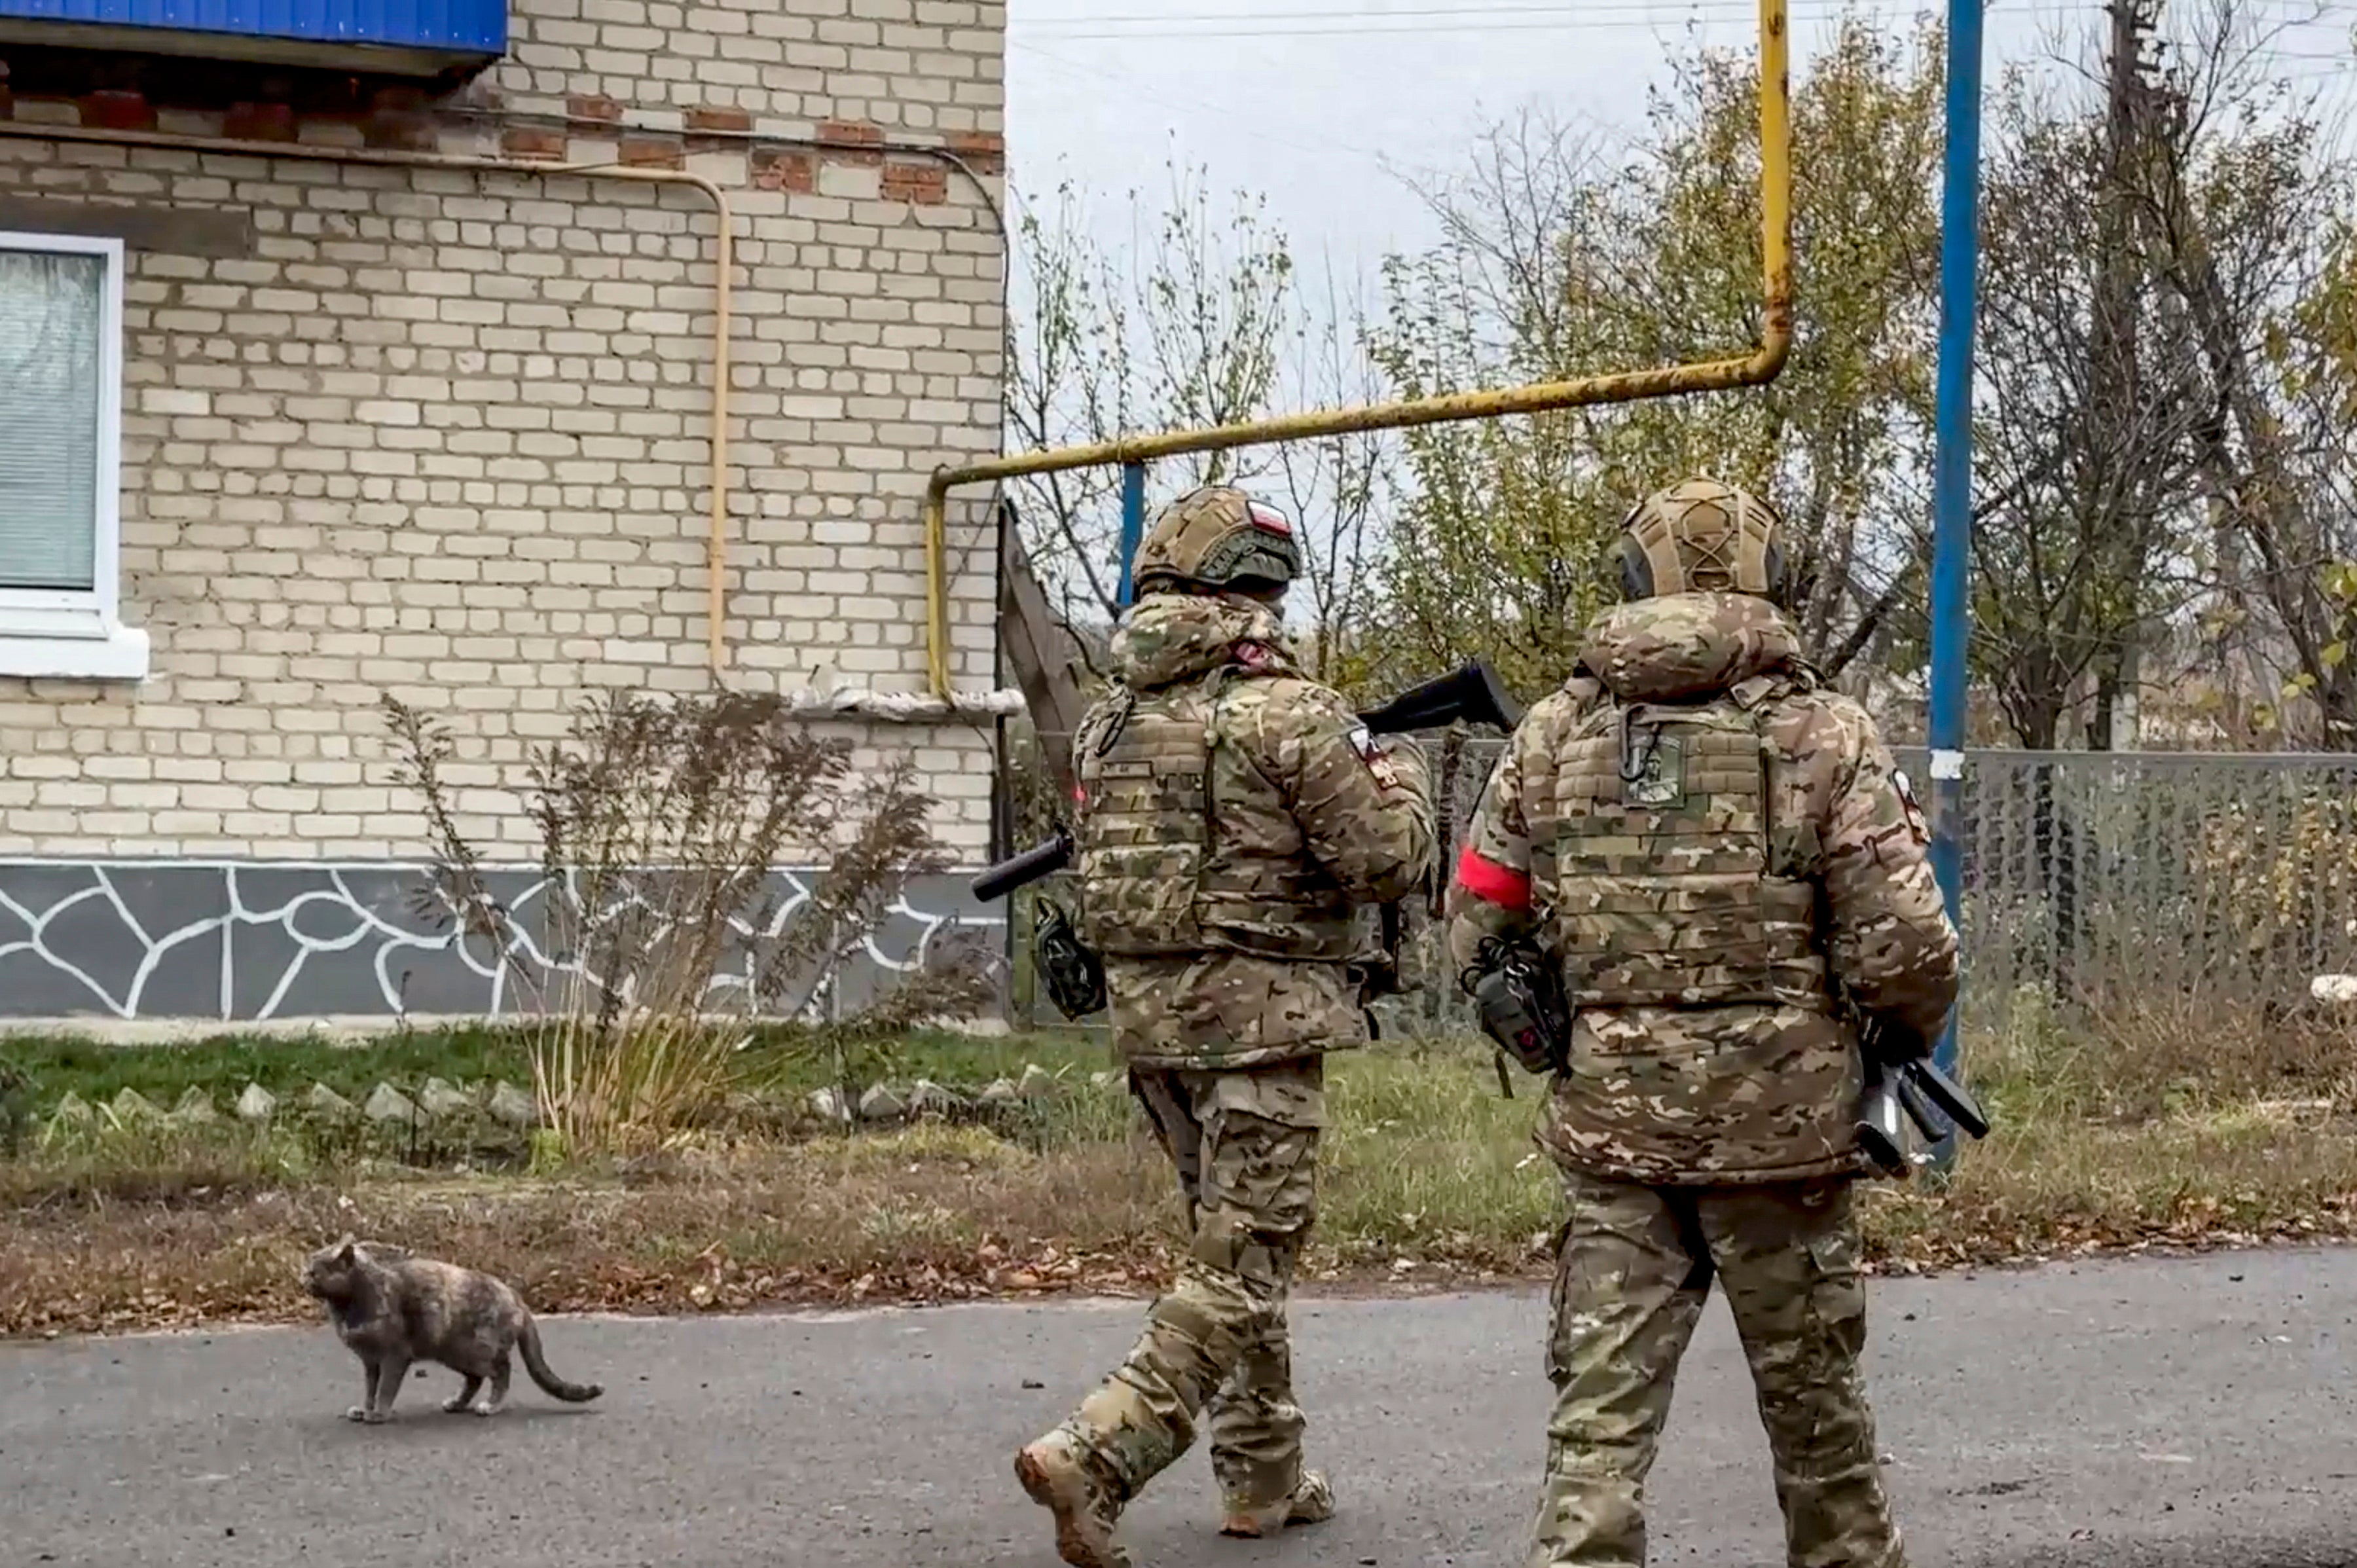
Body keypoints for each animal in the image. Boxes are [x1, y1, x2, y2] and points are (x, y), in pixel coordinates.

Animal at [299, 1235, 608, 1414]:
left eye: (313, 1273)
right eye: (306, 1271)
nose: (302, 1280)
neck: (348, 1308)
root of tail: (516, 1296)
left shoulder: (394, 1355)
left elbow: (386, 1387)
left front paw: (378, 1414)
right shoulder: (370, 1361)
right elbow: (370, 1389)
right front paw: (364, 1410)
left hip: (476, 1348)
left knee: (502, 1370)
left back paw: (491, 1406)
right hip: (453, 1352)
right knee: (475, 1379)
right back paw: (457, 1403)